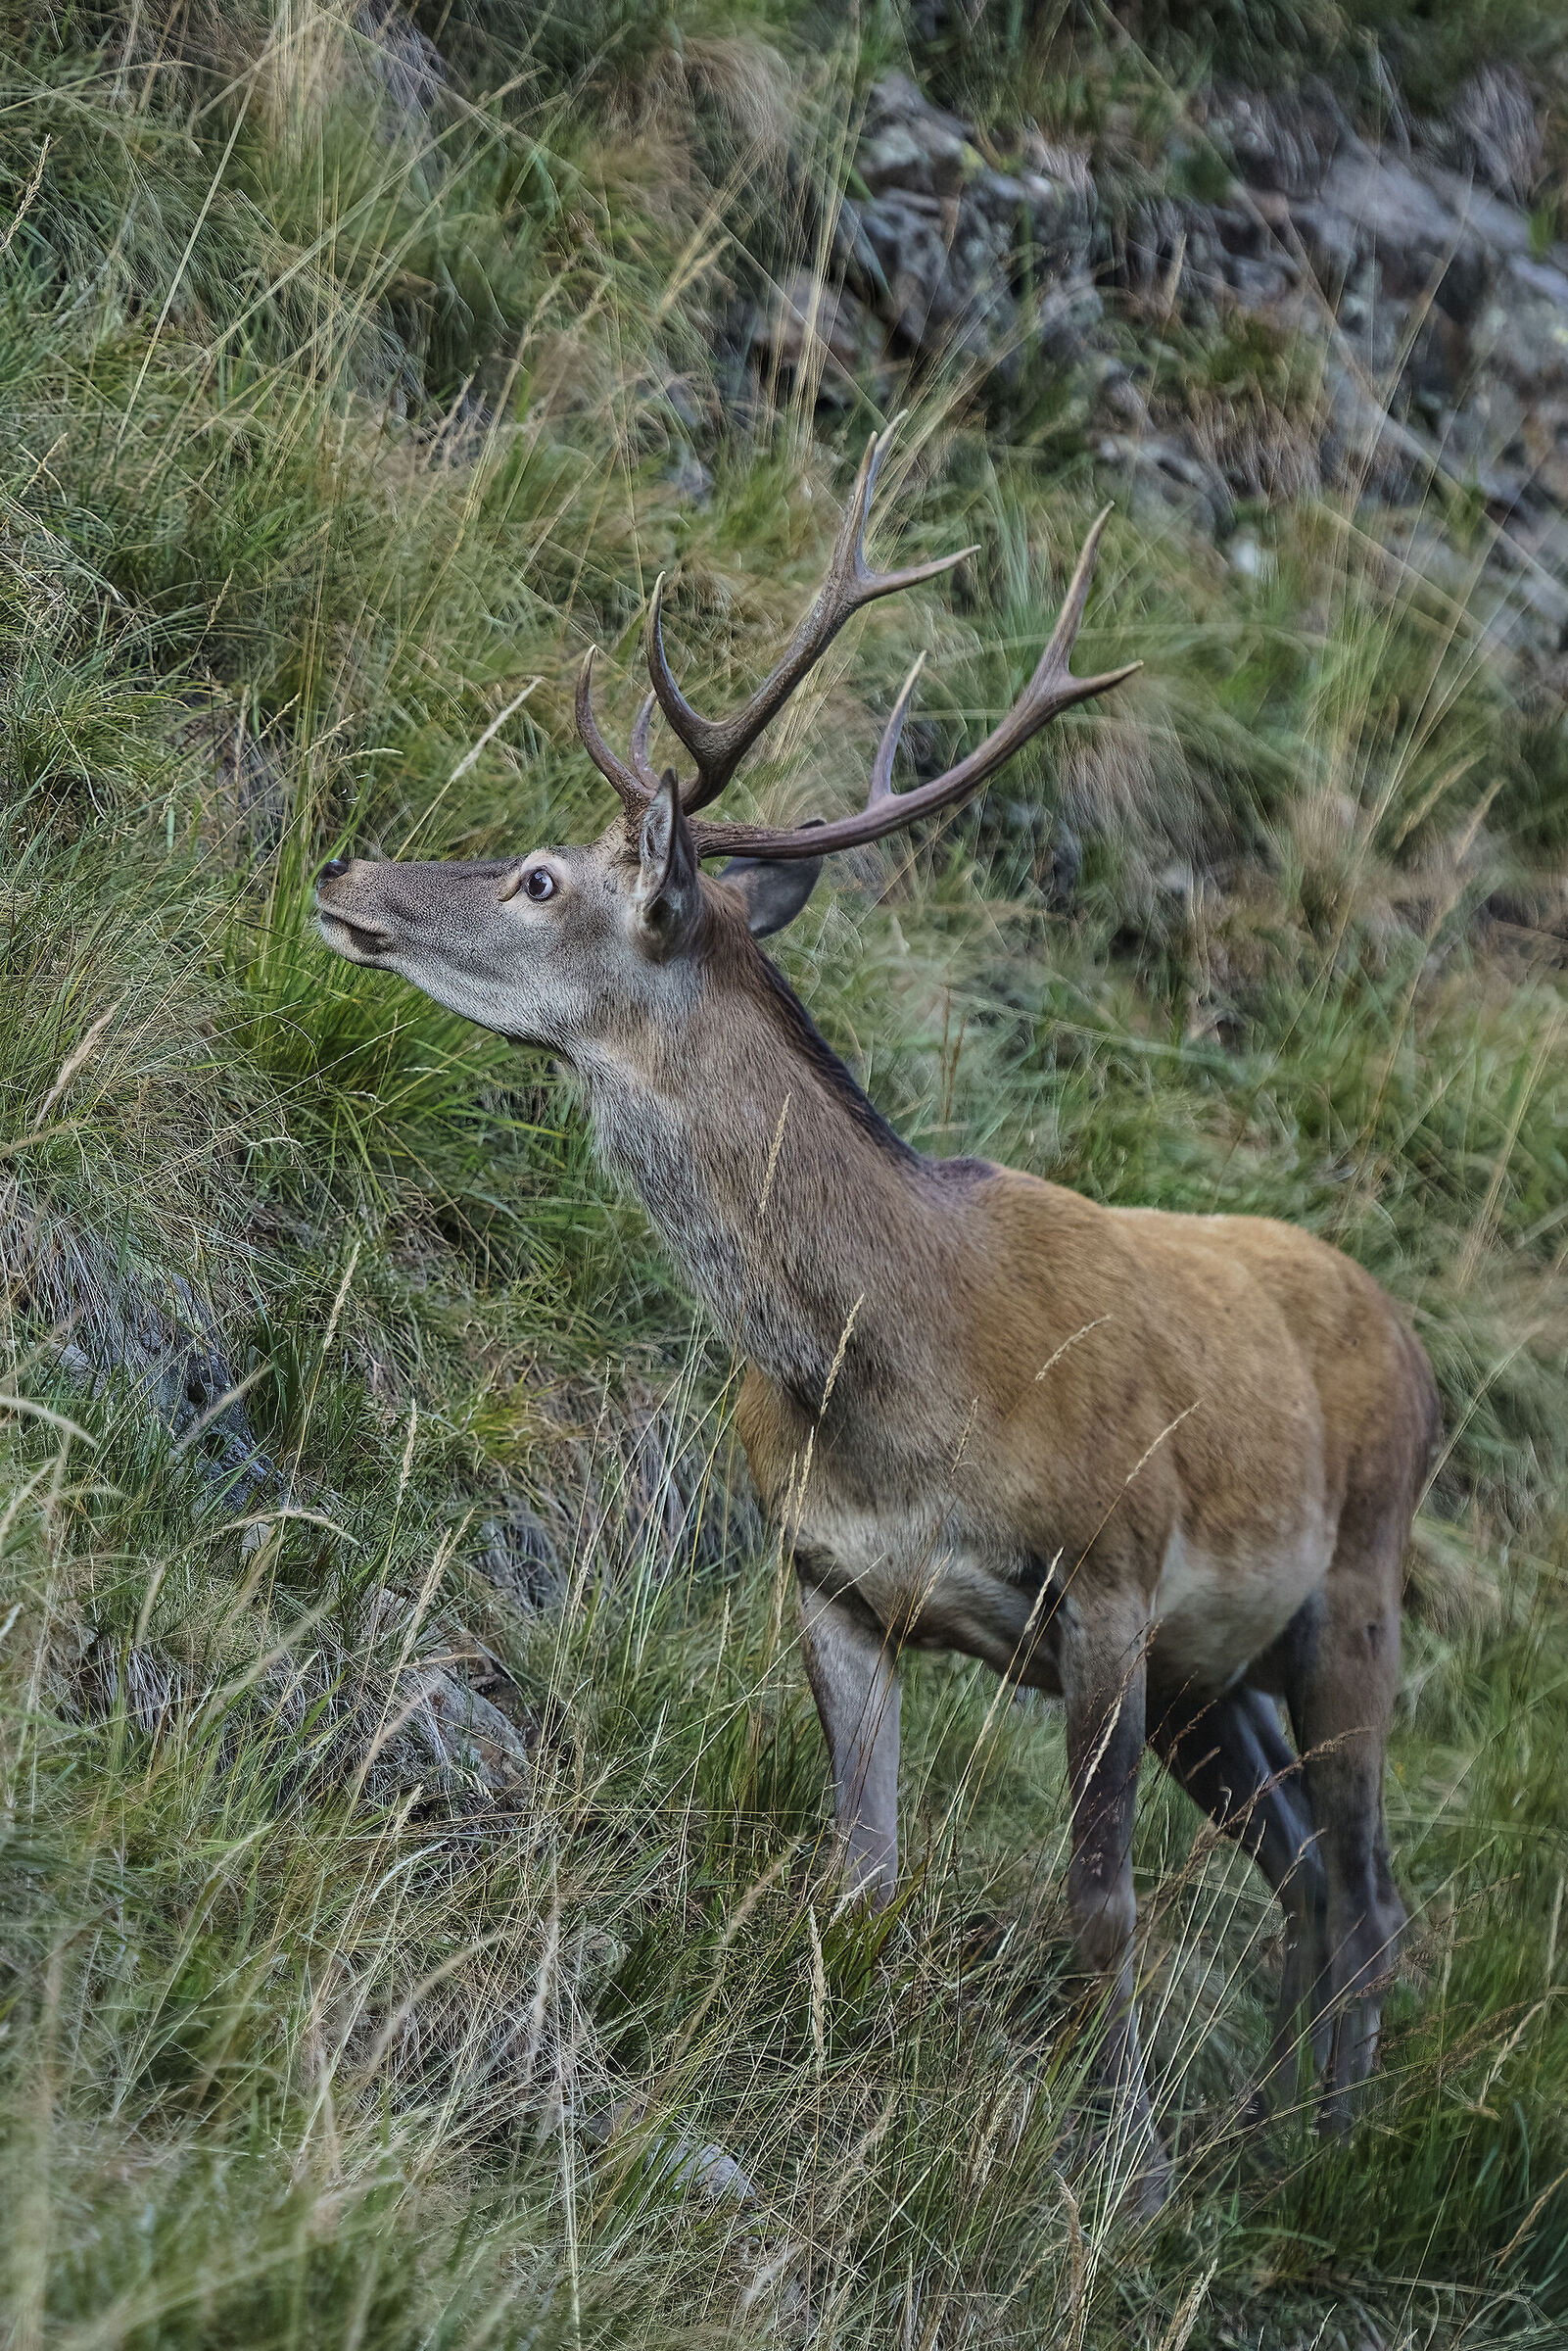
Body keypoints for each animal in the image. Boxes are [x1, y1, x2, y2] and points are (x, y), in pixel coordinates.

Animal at [316, 422, 1439, 2206]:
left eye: (539, 875)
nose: (345, 867)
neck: (897, 1364)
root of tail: (1411, 1343)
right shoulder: (829, 1574)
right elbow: (861, 1877)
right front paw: (802, 2077)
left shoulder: (1108, 1571)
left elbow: (1097, 1903)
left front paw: (1111, 2173)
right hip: (1221, 1679)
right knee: (1309, 1887)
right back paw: (1265, 2145)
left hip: (1350, 1595)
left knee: (1377, 1897)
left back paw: (1318, 2164)